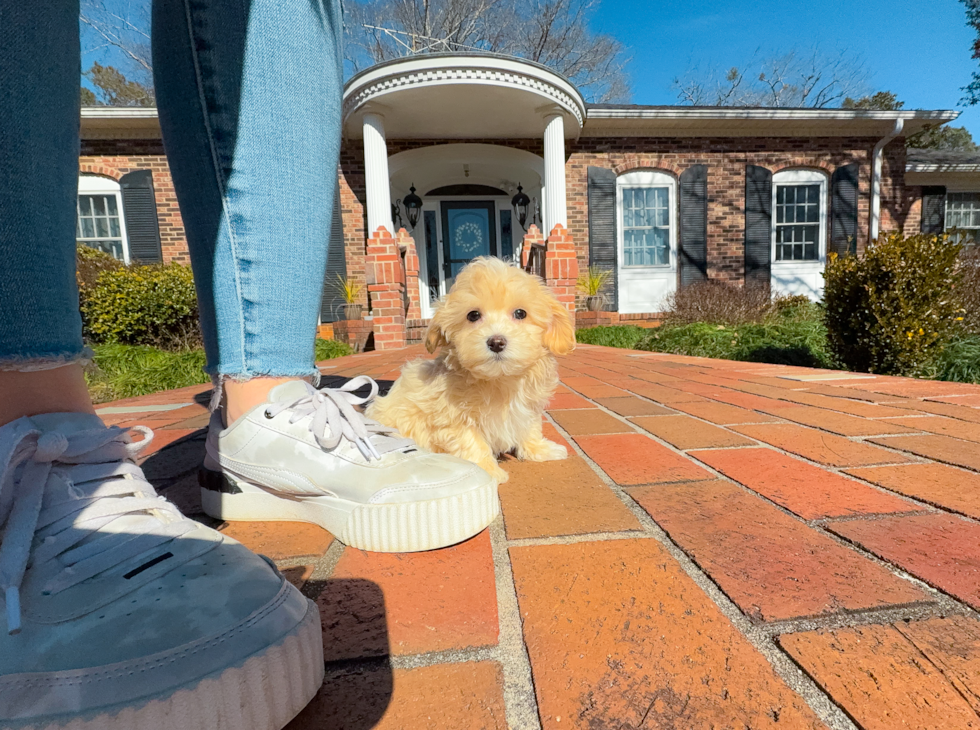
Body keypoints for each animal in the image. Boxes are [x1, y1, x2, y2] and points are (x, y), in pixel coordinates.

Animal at [368, 256, 576, 484]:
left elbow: (530, 428)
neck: (499, 379)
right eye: (473, 315)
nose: (496, 342)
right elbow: (471, 441)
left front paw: (539, 449)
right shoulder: (453, 418)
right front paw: (488, 470)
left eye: (520, 313)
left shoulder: (528, 407)